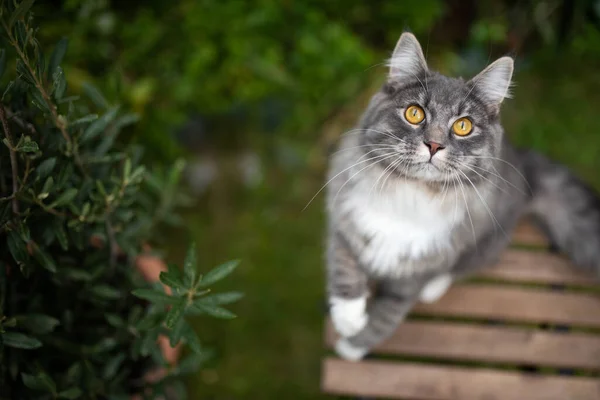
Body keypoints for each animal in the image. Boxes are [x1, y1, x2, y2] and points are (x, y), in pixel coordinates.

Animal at [326, 32, 600, 360]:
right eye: (414, 113)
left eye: (463, 125)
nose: (433, 145)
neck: (413, 193)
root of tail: (524, 167)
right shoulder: (344, 221)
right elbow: (344, 269)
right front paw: (348, 319)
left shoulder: (410, 281)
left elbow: (385, 318)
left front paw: (352, 347)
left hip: (485, 240)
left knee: (462, 267)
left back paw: (434, 289)